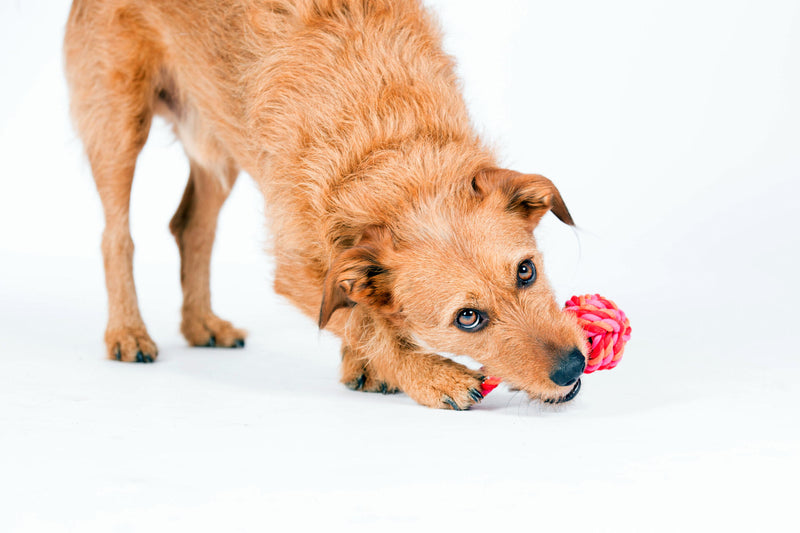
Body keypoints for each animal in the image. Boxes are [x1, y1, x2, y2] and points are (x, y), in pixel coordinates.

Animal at [64, 0, 588, 410]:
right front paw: (427, 375)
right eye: (468, 318)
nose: (572, 365)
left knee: (191, 225)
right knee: (116, 235)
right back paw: (127, 332)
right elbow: (361, 318)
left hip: (215, 141)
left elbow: (356, 303)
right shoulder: (295, 268)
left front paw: (368, 368)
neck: (390, 146)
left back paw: (201, 324)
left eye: (526, 271)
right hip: (118, 125)